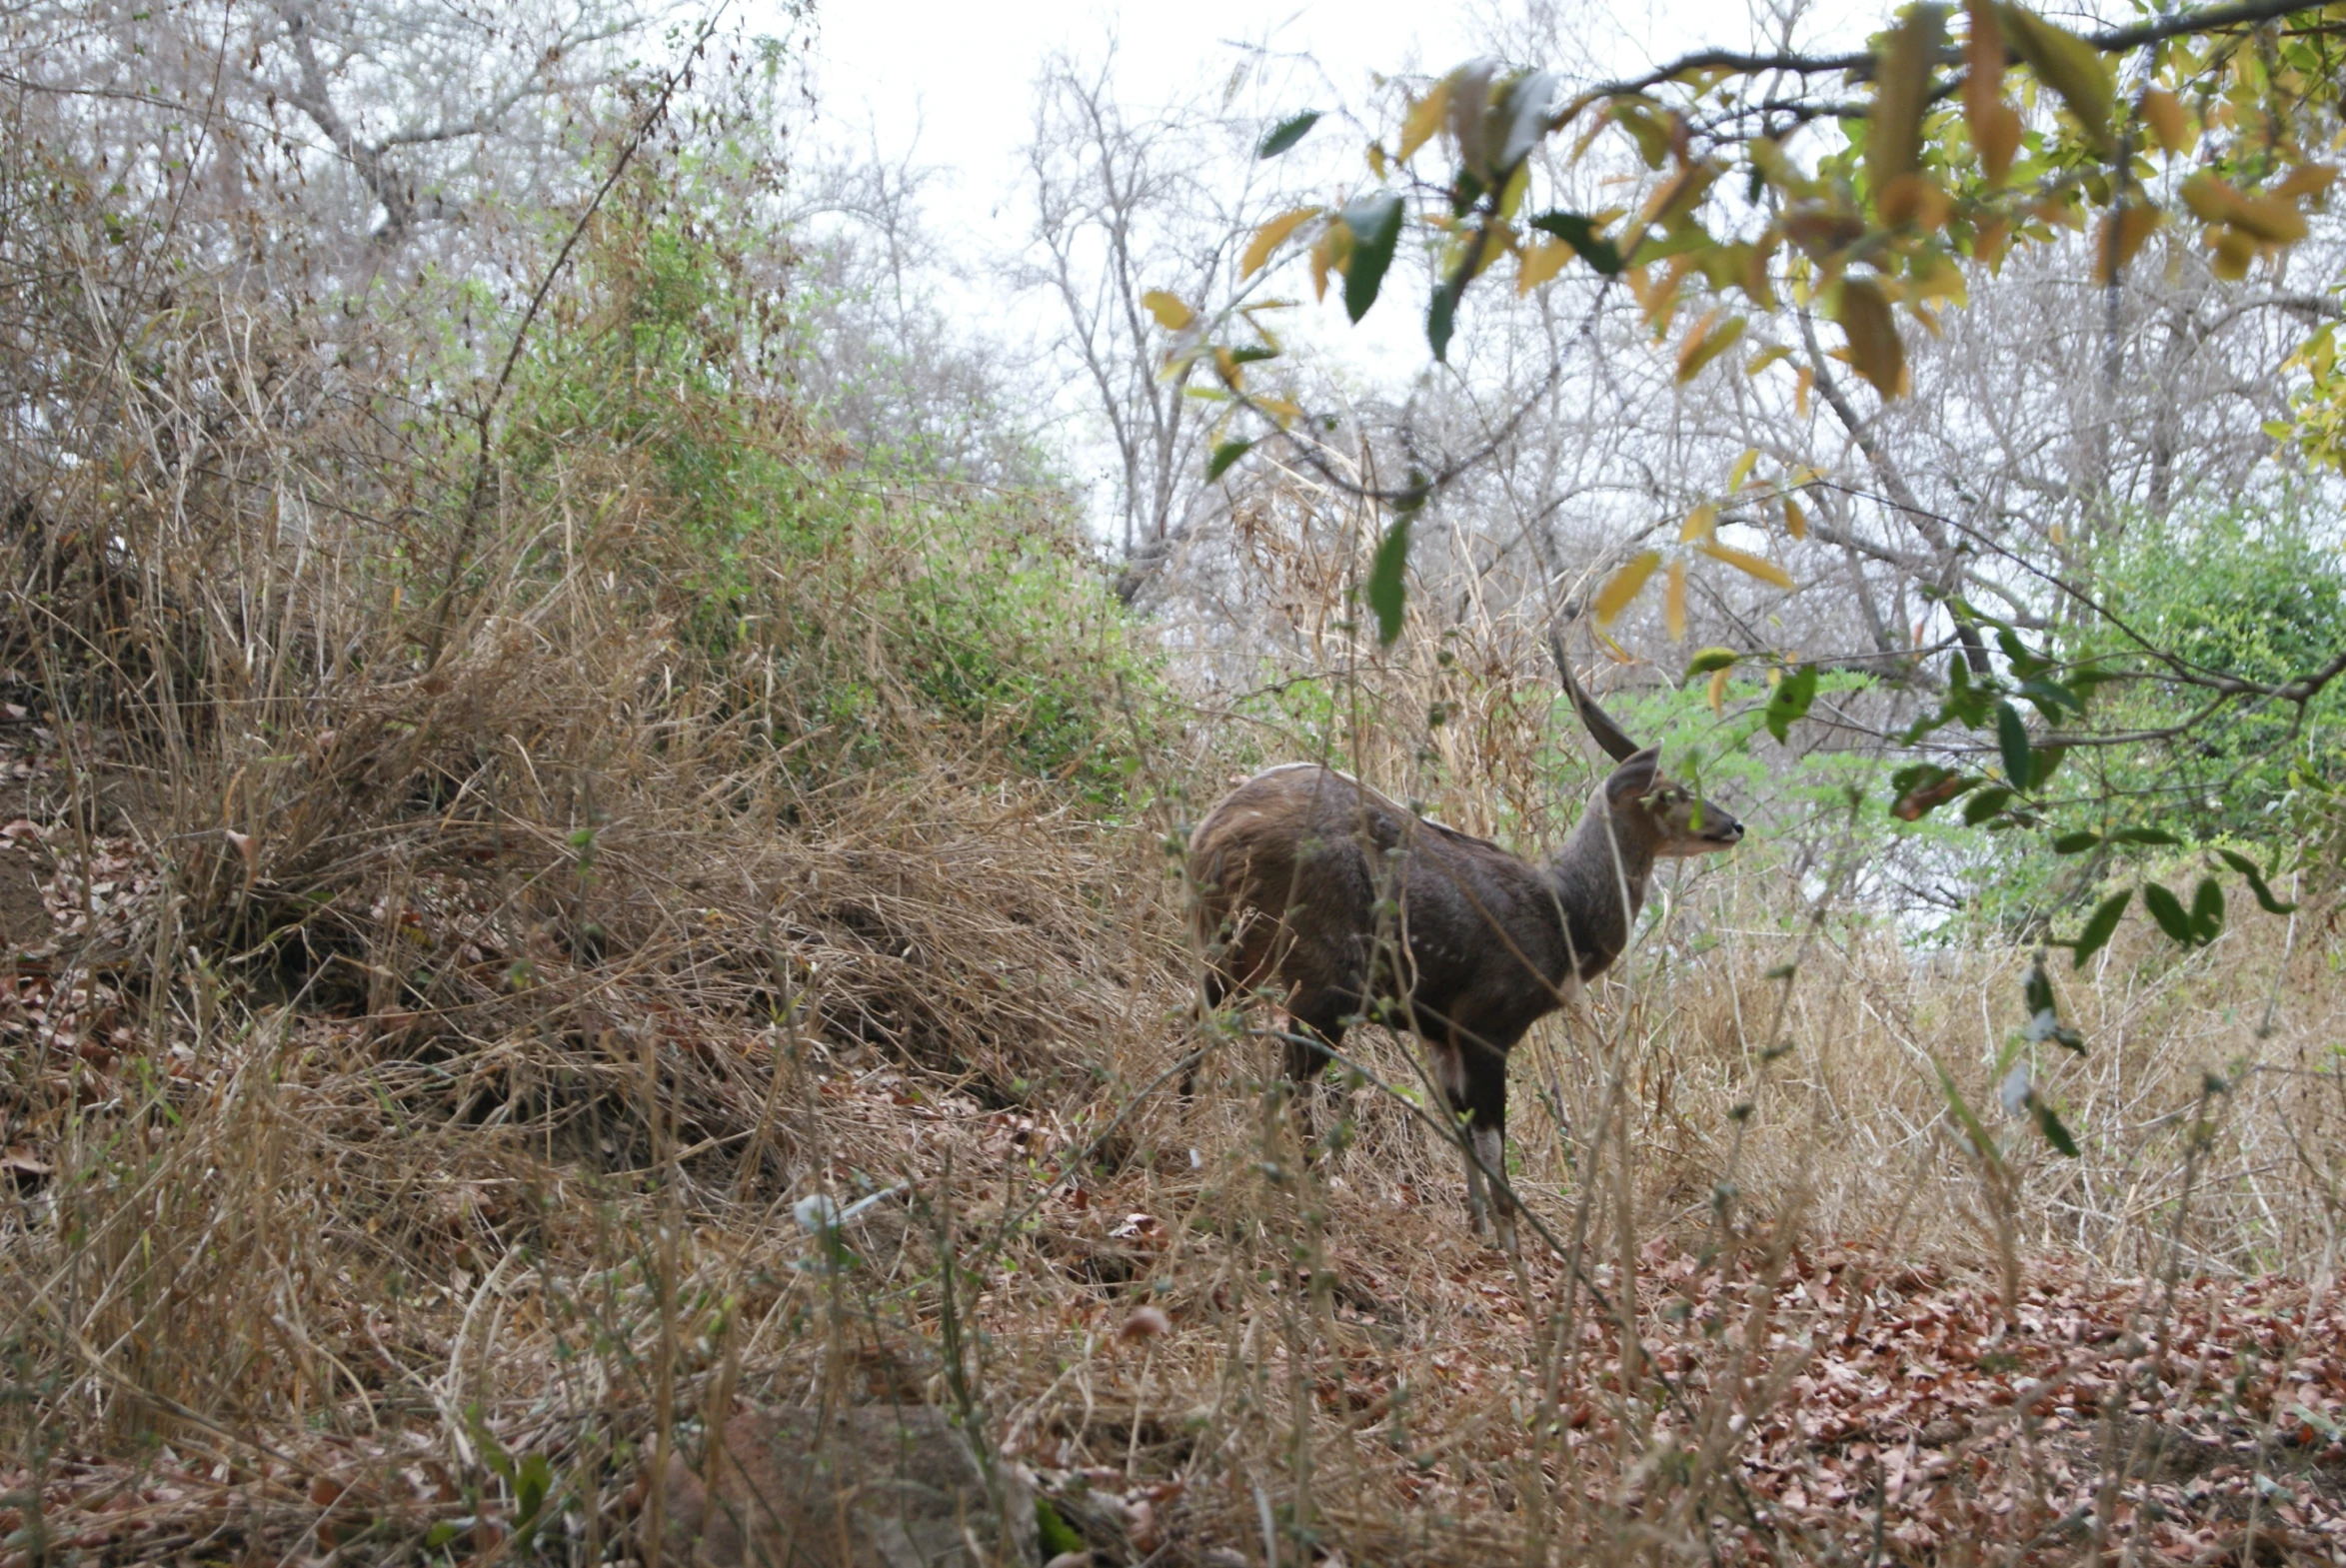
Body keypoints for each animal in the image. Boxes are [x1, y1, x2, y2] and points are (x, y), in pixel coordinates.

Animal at [1191, 633, 1745, 1246]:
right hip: (1324, 982)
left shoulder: (1440, 1036)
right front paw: (1511, 1248)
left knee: (1199, 1028)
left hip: (1232, 954)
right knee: (1287, 1082)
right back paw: (1307, 1196)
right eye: (1671, 793)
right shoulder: (1486, 1025)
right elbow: (1493, 1147)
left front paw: (1478, 1233)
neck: (1565, 917)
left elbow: (1464, 1141)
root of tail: (1214, 835)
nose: (1734, 825)